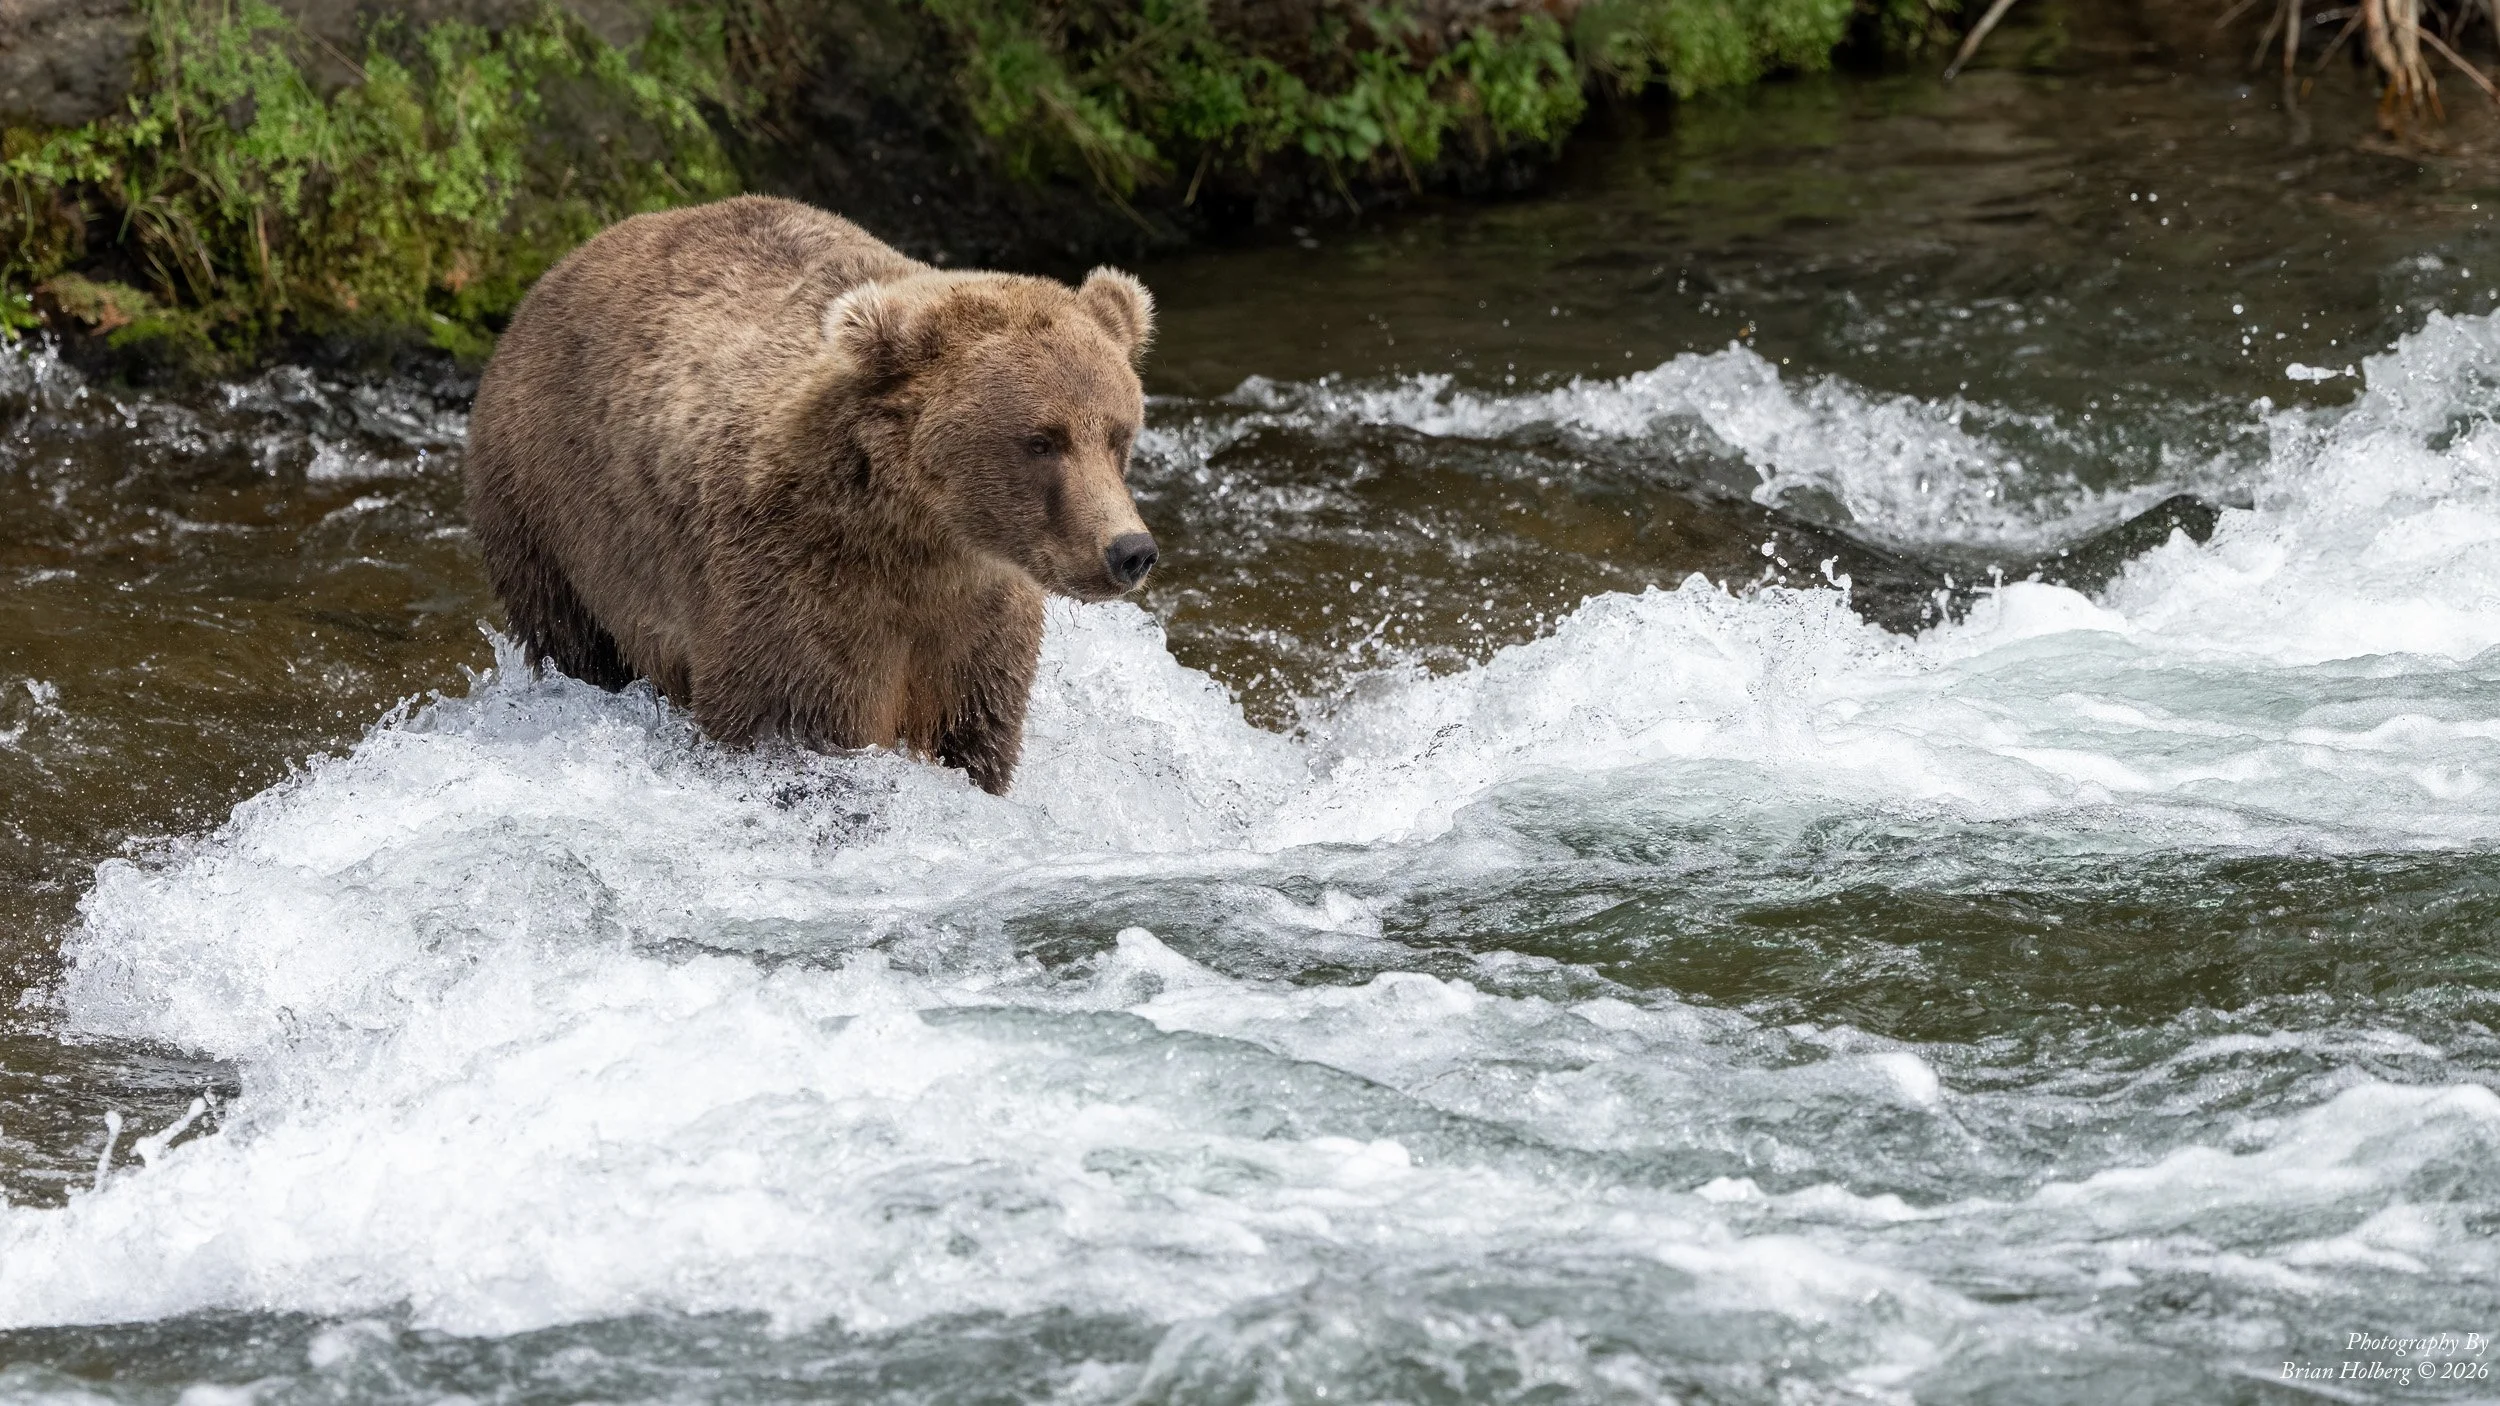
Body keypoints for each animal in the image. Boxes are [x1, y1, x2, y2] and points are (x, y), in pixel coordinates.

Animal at [463, 195, 1160, 795]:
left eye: (1118, 433)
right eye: (1042, 440)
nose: (1129, 550)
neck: (922, 542)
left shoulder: (977, 630)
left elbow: (975, 739)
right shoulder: (797, 588)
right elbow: (792, 723)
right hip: (545, 509)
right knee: (572, 639)